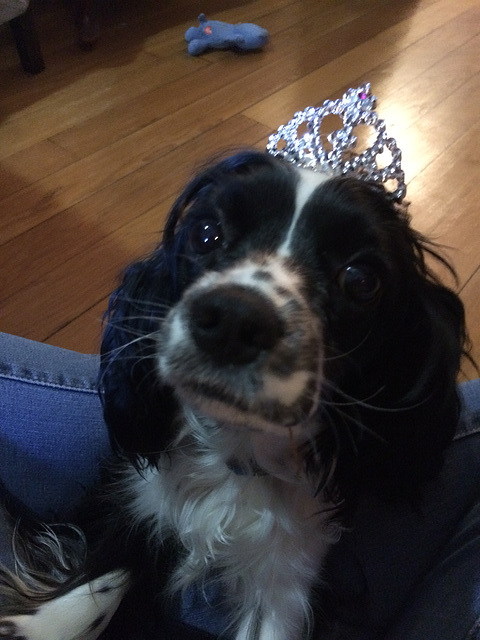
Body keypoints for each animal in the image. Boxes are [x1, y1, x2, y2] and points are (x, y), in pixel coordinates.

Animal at [0, 151, 466, 640]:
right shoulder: (134, 502)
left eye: (360, 280)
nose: (232, 320)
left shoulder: (288, 577)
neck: (236, 454)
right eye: (207, 233)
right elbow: (91, 590)